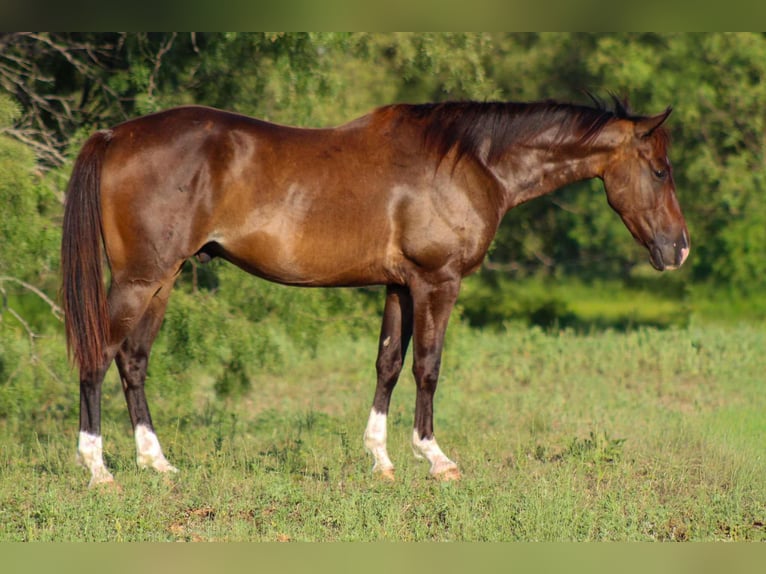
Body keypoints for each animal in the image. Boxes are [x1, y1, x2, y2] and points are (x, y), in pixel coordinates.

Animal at [61, 98, 689, 487]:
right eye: (660, 171)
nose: (679, 249)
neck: (469, 163)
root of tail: (116, 134)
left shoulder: (398, 286)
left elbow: (388, 365)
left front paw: (380, 459)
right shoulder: (437, 281)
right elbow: (428, 367)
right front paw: (435, 458)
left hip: (162, 281)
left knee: (133, 362)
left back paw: (157, 463)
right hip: (141, 280)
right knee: (97, 358)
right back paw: (98, 469)